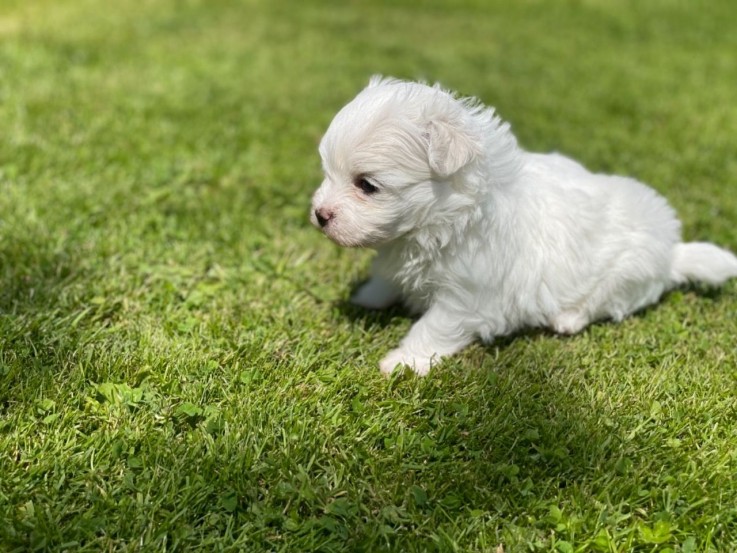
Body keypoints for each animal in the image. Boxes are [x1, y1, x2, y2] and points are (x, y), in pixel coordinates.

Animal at [310, 74, 736, 376]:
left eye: (367, 185)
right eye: (327, 172)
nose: (319, 214)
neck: (444, 218)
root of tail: (673, 252)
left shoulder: (466, 296)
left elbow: (431, 328)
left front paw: (402, 362)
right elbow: (387, 277)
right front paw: (369, 295)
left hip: (628, 273)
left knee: (604, 302)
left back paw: (566, 318)